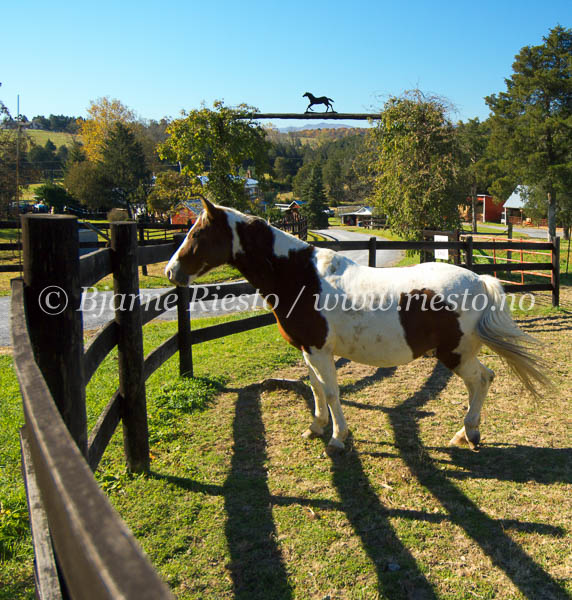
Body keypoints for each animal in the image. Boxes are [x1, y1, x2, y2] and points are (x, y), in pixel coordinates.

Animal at [166, 197, 548, 454]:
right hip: (460, 354)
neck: (300, 276)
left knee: (482, 380)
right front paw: (316, 427)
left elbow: (332, 392)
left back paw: (468, 433)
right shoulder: (309, 350)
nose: (171, 272)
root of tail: (479, 280)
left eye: (198, 233)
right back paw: (468, 433)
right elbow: (316, 389)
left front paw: (337, 438)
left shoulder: (320, 351)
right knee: (480, 382)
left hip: (455, 354)